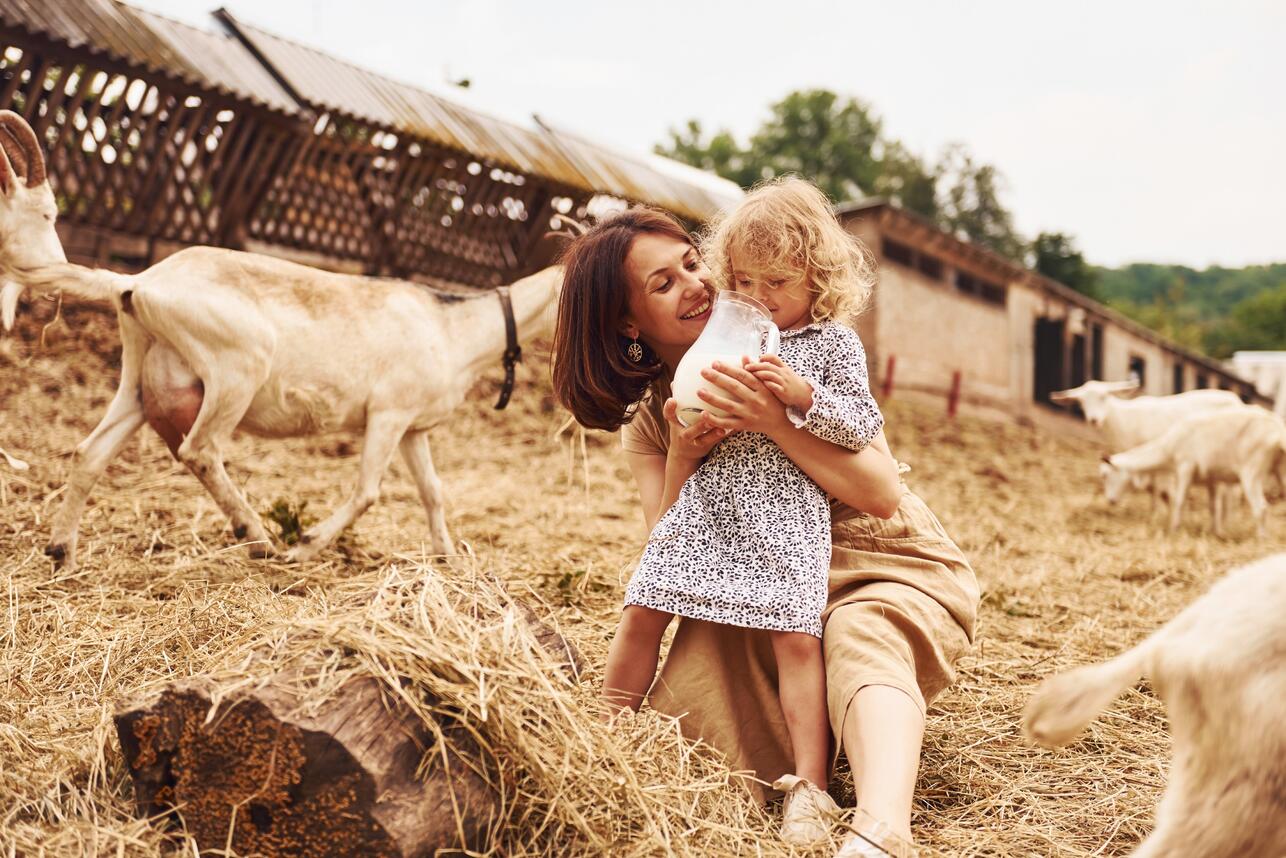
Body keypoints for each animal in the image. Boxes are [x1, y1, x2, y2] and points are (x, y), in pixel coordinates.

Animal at [0, 113, 563, 571]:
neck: (453, 327)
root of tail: (137, 283)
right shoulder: (388, 413)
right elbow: (368, 491)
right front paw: (306, 545)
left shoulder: (413, 428)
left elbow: (433, 491)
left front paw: (449, 559)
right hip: (238, 367)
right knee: (199, 449)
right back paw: (258, 537)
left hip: (140, 379)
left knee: (90, 453)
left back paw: (62, 552)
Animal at [1095, 406, 1286, 532]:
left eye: (1105, 475)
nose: (1110, 501)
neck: (1167, 450)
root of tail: (1277, 429)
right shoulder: (1211, 479)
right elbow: (1213, 506)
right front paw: (1216, 531)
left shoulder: (1185, 467)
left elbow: (1179, 500)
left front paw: (1174, 529)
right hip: (1280, 471)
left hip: (1252, 471)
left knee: (1261, 508)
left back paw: (1261, 537)